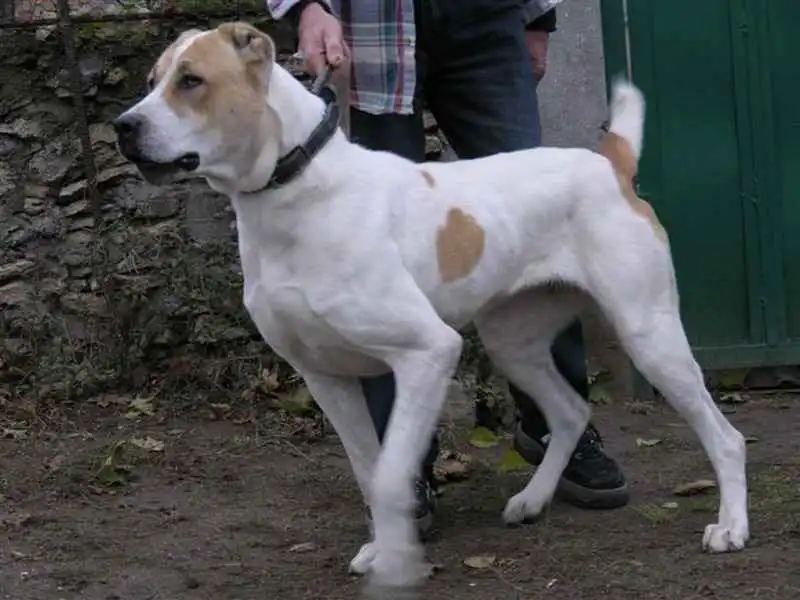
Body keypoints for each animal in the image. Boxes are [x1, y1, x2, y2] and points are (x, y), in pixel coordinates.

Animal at [114, 21, 749, 595]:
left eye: (191, 80)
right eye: (149, 82)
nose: (124, 126)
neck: (294, 191)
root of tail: (608, 161)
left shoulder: (427, 353)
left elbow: (393, 471)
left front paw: (397, 559)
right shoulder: (325, 378)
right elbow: (369, 471)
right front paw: (384, 545)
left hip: (650, 335)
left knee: (724, 436)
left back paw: (731, 527)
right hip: (512, 343)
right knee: (569, 412)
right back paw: (533, 499)